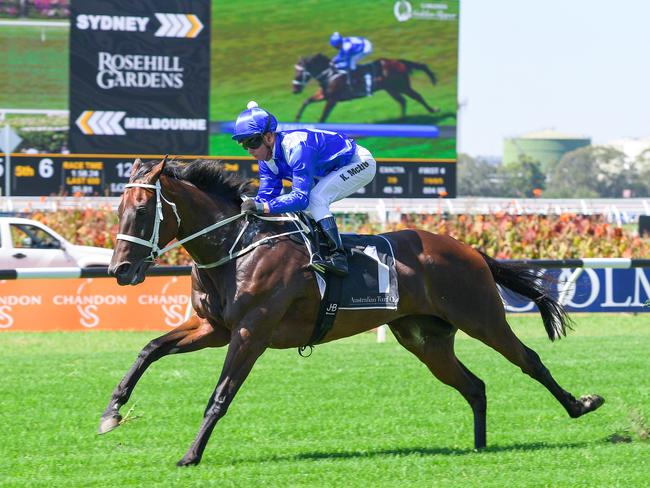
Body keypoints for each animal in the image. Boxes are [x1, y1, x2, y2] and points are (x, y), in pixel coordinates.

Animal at [101, 158, 604, 468]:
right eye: (118, 207)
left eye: (142, 210)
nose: (120, 270)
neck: (236, 247)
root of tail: (468, 248)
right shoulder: (214, 327)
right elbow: (149, 349)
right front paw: (112, 412)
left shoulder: (251, 332)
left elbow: (220, 395)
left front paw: (191, 454)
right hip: (425, 338)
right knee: (473, 385)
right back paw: (479, 447)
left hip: (481, 317)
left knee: (529, 361)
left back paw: (581, 404)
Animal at [292, 52, 436, 122]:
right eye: (295, 71)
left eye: (300, 73)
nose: (294, 90)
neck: (330, 74)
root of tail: (398, 61)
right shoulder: (324, 95)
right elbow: (306, 101)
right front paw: (297, 118)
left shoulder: (332, 99)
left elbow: (323, 117)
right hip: (391, 89)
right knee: (402, 101)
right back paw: (402, 119)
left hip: (402, 86)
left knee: (417, 96)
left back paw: (433, 110)